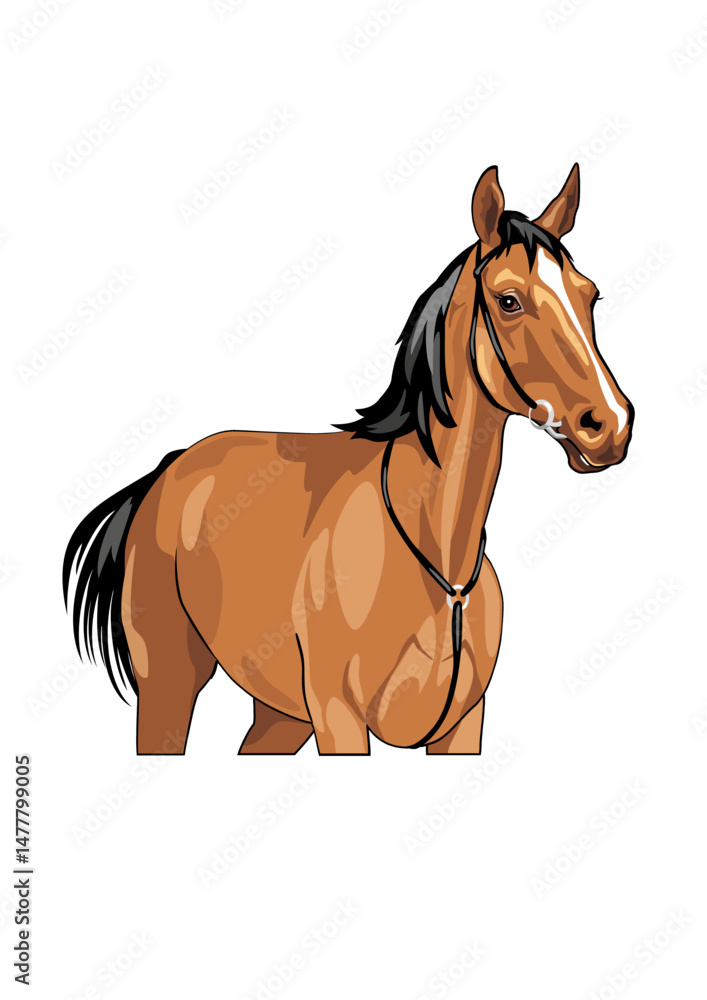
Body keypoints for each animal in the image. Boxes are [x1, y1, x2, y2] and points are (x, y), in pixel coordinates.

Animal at [63, 164, 634, 756]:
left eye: (590, 297)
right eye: (509, 301)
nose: (609, 425)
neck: (439, 558)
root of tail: (167, 469)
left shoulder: (462, 725)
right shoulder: (338, 718)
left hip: (279, 715)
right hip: (171, 685)